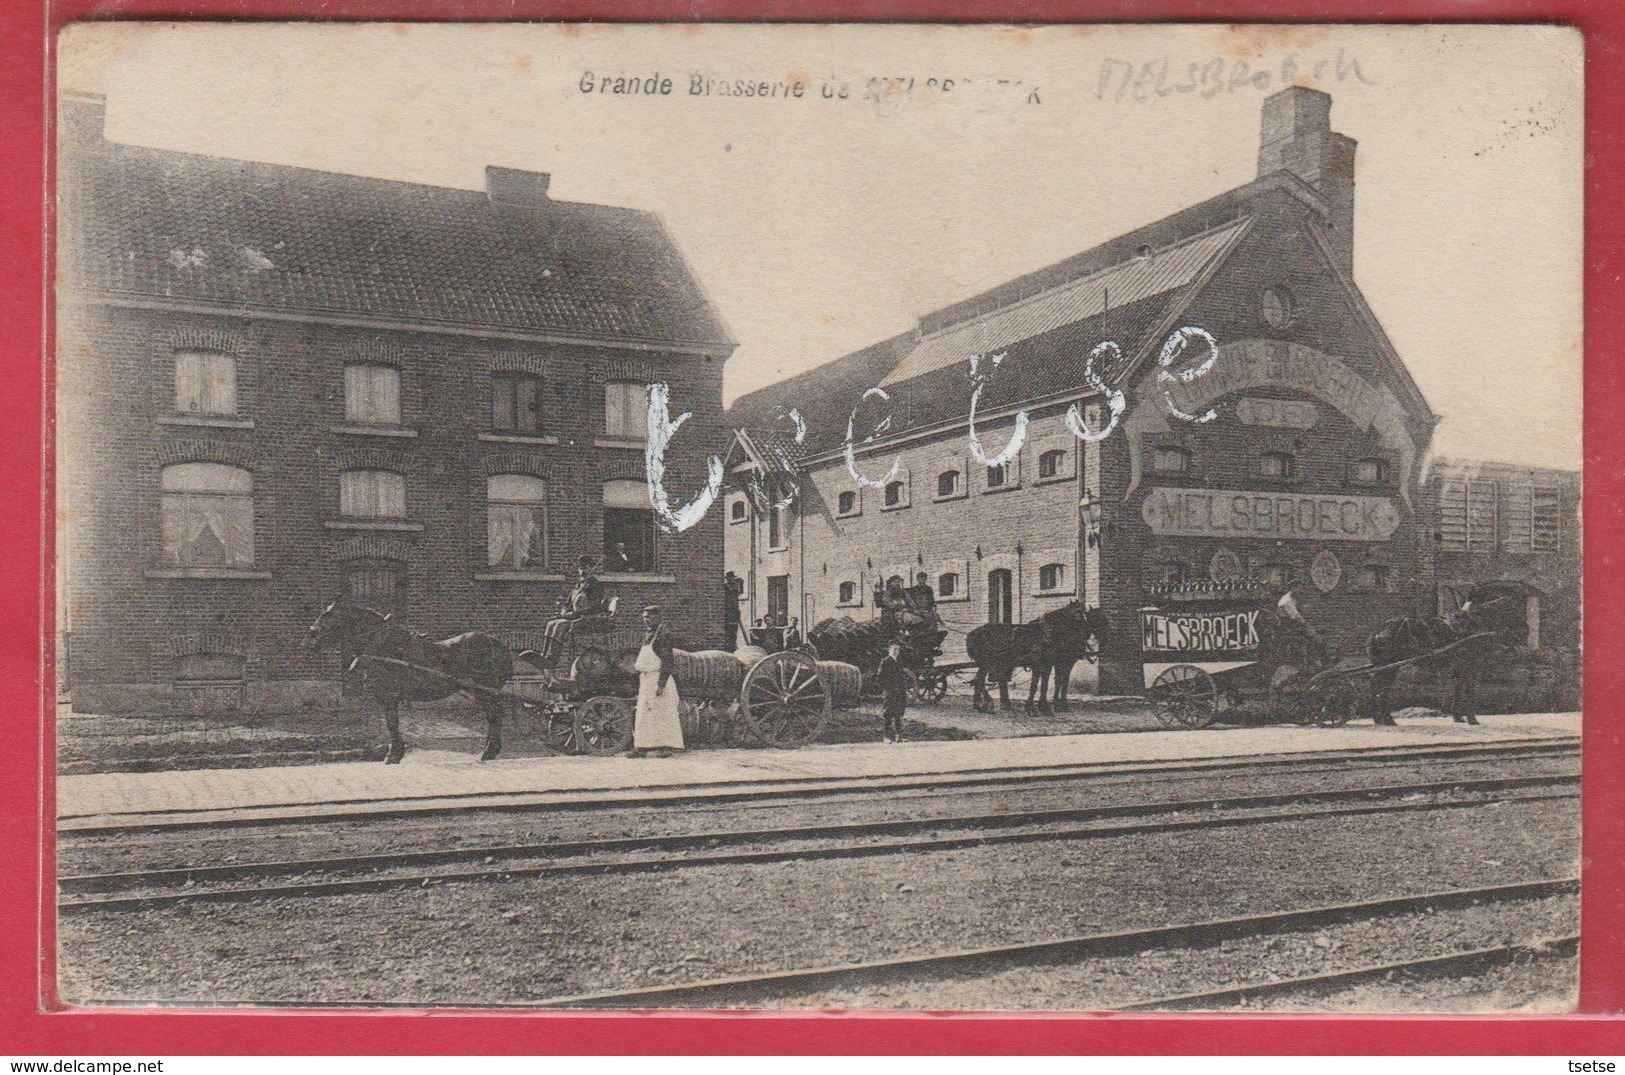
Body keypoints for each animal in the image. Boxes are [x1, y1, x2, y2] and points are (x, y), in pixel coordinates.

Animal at [302, 607, 510, 766]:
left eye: (326, 616)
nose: (309, 637)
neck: (382, 646)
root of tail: (497, 643)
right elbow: (392, 723)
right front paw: (395, 753)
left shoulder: (388, 695)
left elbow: (392, 723)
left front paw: (393, 755)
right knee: (493, 716)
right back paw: (490, 751)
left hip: (483, 691)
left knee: (494, 715)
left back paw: (488, 751)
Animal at [962, 607, 1105, 714]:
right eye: (1077, 616)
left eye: (1102, 619)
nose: (1084, 635)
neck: (1048, 635)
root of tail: (971, 634)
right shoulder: (1046, 664)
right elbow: (1040, 685)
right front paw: (1039, 707)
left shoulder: (1054, 664)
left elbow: (1050, 684)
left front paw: (1050, 706)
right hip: (987, 663)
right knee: (980, 681)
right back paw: (989, 703)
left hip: (989, 664)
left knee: (980, 680)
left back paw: (982, 704)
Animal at [1365, 594, 1501, 727]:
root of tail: (1380, 629)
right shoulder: (1470, 666)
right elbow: (1469, 692)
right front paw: (1472, 719)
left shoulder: (1460, 667)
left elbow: (1458, 689)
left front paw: (1458, 717)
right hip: (1390, 665)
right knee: (1382, 688)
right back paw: (1388, 719)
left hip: (1383, 665)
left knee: (1375, 685)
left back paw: (1378, 719)